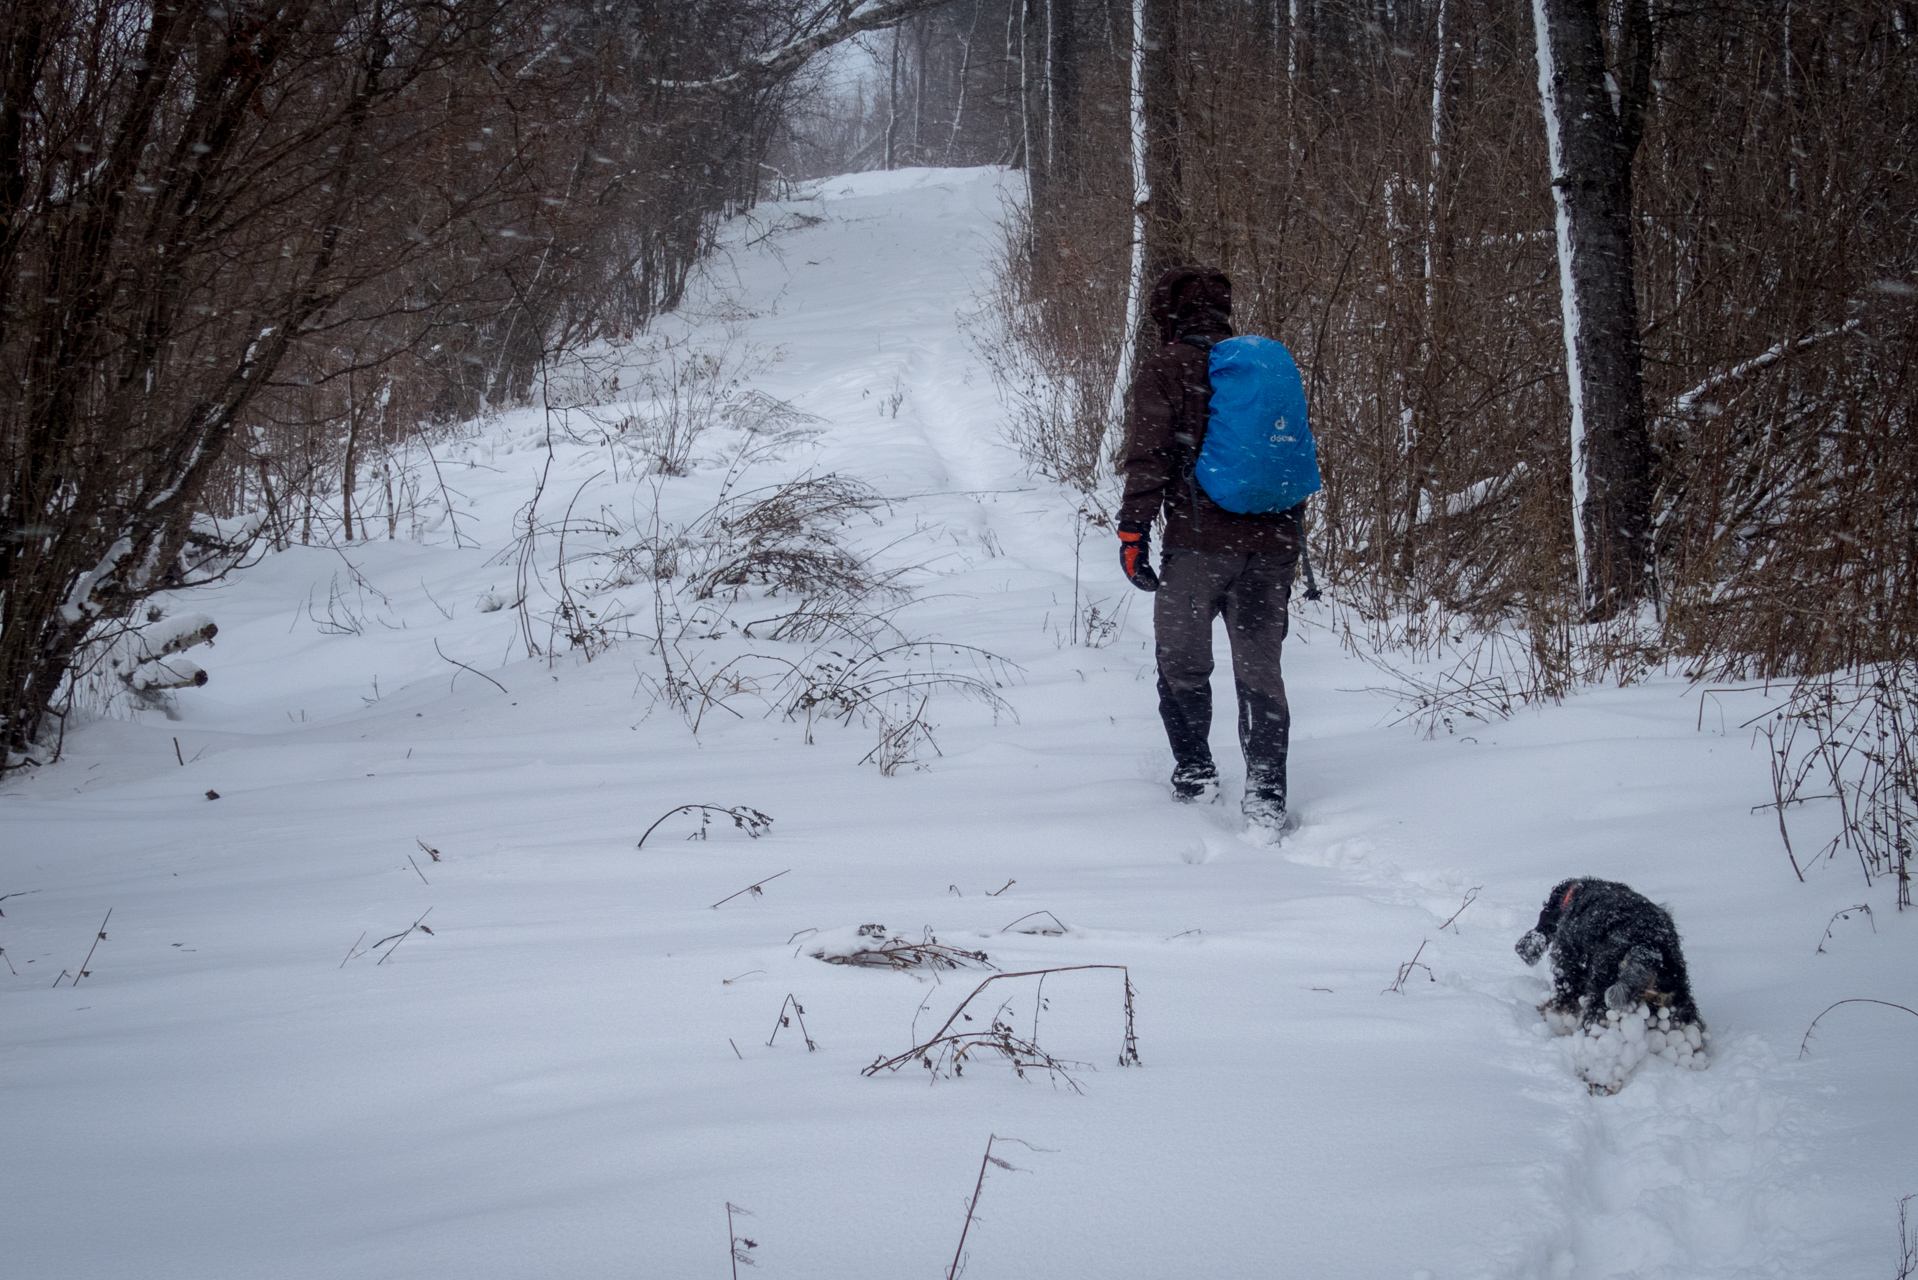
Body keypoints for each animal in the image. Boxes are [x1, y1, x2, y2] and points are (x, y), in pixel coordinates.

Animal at [1511, 882, 1710, 1090]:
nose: (1523, 949)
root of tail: (1646, 948)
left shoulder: (1568, 977)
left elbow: (1559, 1009)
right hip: (1677, 1007)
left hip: (1605, 1010)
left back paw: (1597, 1081)